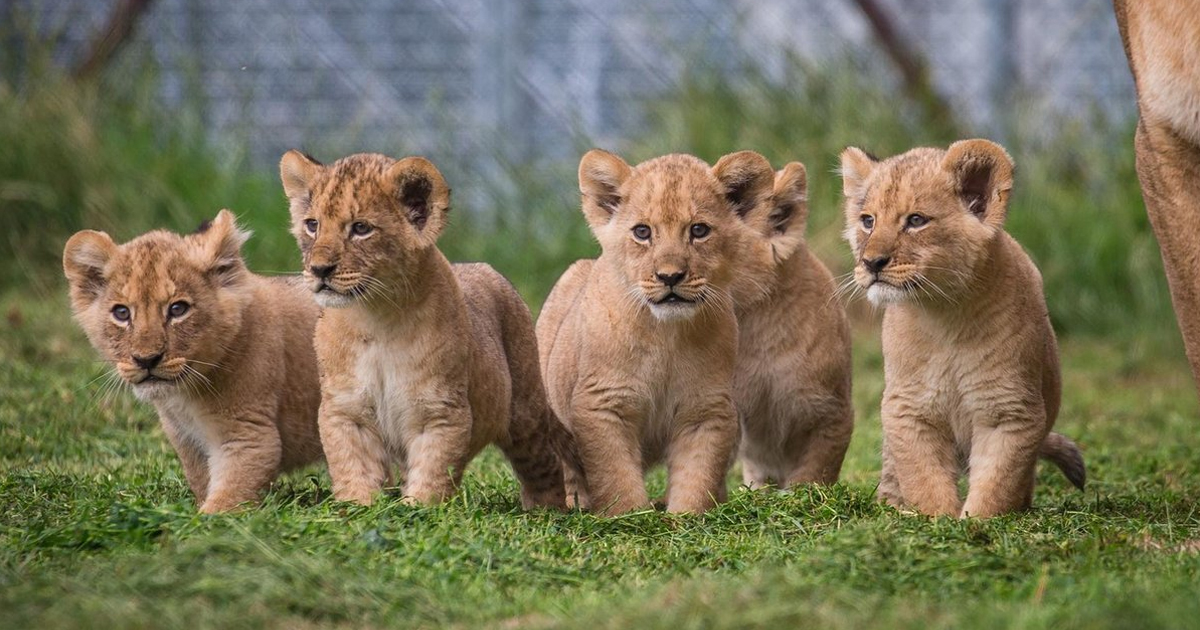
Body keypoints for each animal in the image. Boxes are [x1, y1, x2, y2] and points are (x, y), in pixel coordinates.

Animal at [63, 210, 324, 513]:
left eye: (178, 309)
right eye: (121, 313)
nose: (146, 360)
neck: (184, 396)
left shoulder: (249, 436)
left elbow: (222, 505)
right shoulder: (185, 438)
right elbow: (201, 478)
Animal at [279, 150, 573, 509]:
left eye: (361, 228)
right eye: (313, 225)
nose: (319, 269)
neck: (375, 317)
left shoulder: (440, 412)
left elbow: (433, 469)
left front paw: (417, 509)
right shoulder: (345, 410)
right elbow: (353, 464)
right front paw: (357, 507)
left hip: (524, 411)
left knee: (544, 463)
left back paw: (548, 510)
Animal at [536, 149, 779, 515]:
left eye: (699, 230)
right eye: (642, 231)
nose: (670, 276)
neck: (666, 335)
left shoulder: (705, 409)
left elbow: (697, 475)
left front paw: (686, 517)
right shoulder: (602, 403)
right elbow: (615, 473)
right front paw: (629, 516)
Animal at [839, 139, 1086, 518]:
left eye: (915, 220)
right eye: (868, 221)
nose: (871, 263)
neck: (945, 315)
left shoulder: (1010, 411)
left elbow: (998, 479)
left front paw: (975, 521)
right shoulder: (909, 408)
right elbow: (923, 476)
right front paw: (936, 518)